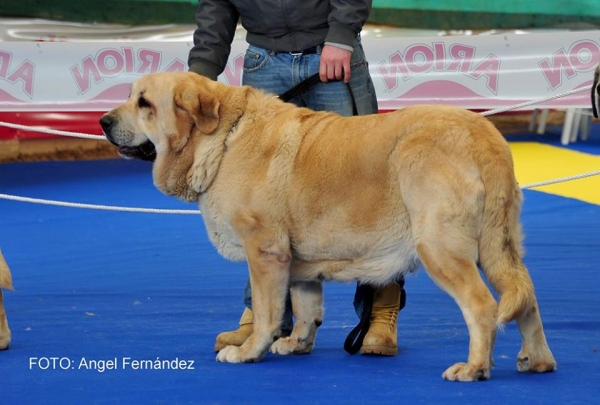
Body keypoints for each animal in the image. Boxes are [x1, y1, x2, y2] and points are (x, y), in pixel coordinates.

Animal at [99, 72, 556, 378]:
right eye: (130, 97)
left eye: (144, 103)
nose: (103, 121)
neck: (222, 139)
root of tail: (484, 135)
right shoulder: (298, 262)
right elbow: (305, 307)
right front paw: (296, 344)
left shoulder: (265, 252)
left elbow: (266, 310)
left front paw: (249, 351)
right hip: (500, 246)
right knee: (528, 297)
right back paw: (537, 361)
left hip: (442, 249)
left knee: (482, 308)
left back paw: (474, 368)